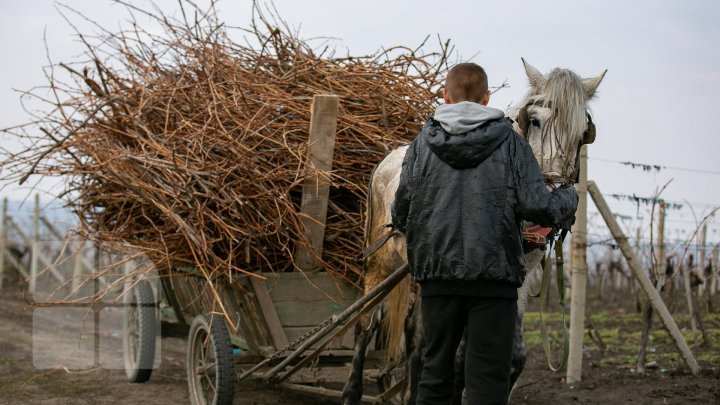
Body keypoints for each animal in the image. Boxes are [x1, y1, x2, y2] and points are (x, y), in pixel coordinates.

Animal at [346, 58, 604, 402]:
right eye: (535, 121)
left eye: (581, 134)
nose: (551, 199)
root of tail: (387, 157)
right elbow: (456, 355)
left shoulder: (518, 277)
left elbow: (513, 356)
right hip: (382, 263)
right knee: (367, 322)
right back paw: (353, 391)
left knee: (414, 335)